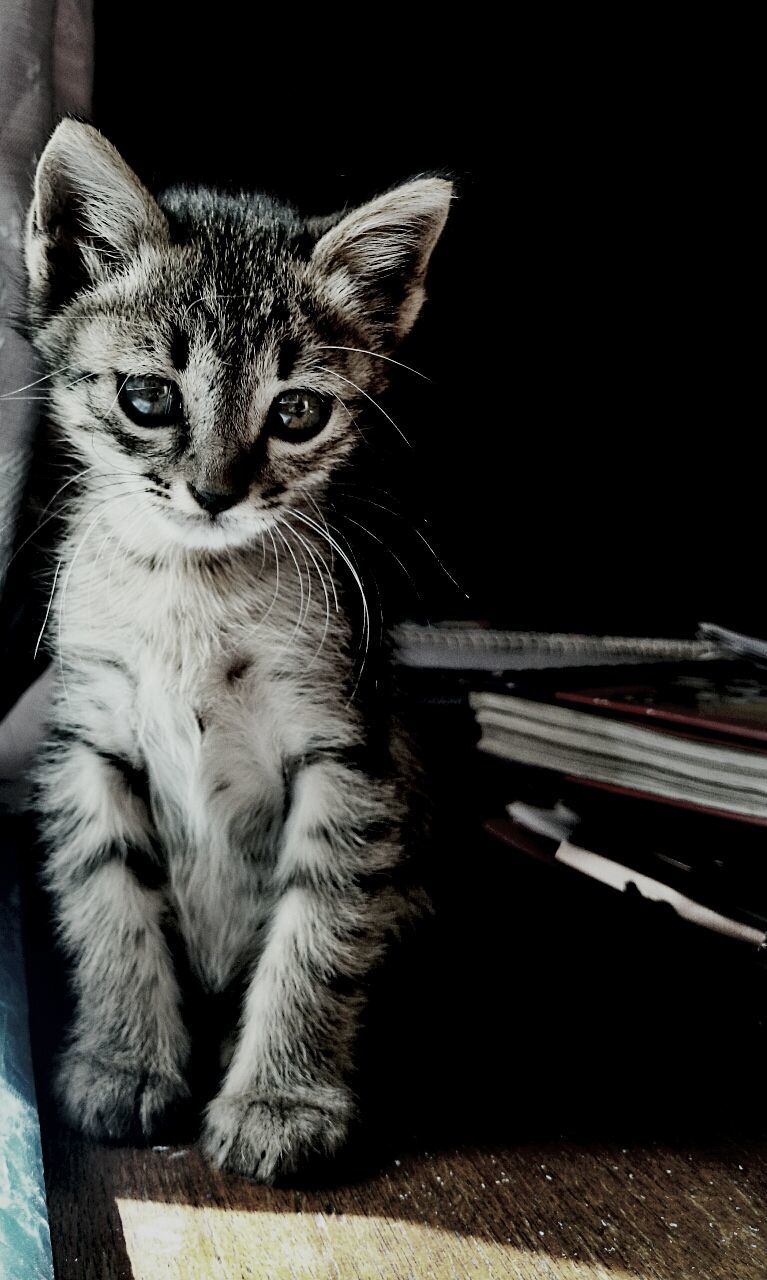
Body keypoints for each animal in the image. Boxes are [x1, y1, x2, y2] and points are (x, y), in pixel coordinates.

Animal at [27, 117, 453, 1177]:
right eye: (147, 397)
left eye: (297, 410)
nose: (216, 492)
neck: (195, 585)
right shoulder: (90, 742)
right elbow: (107, 901)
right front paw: (125, 1060)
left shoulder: (350, 752)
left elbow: (321, 927)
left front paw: (281, 1100)